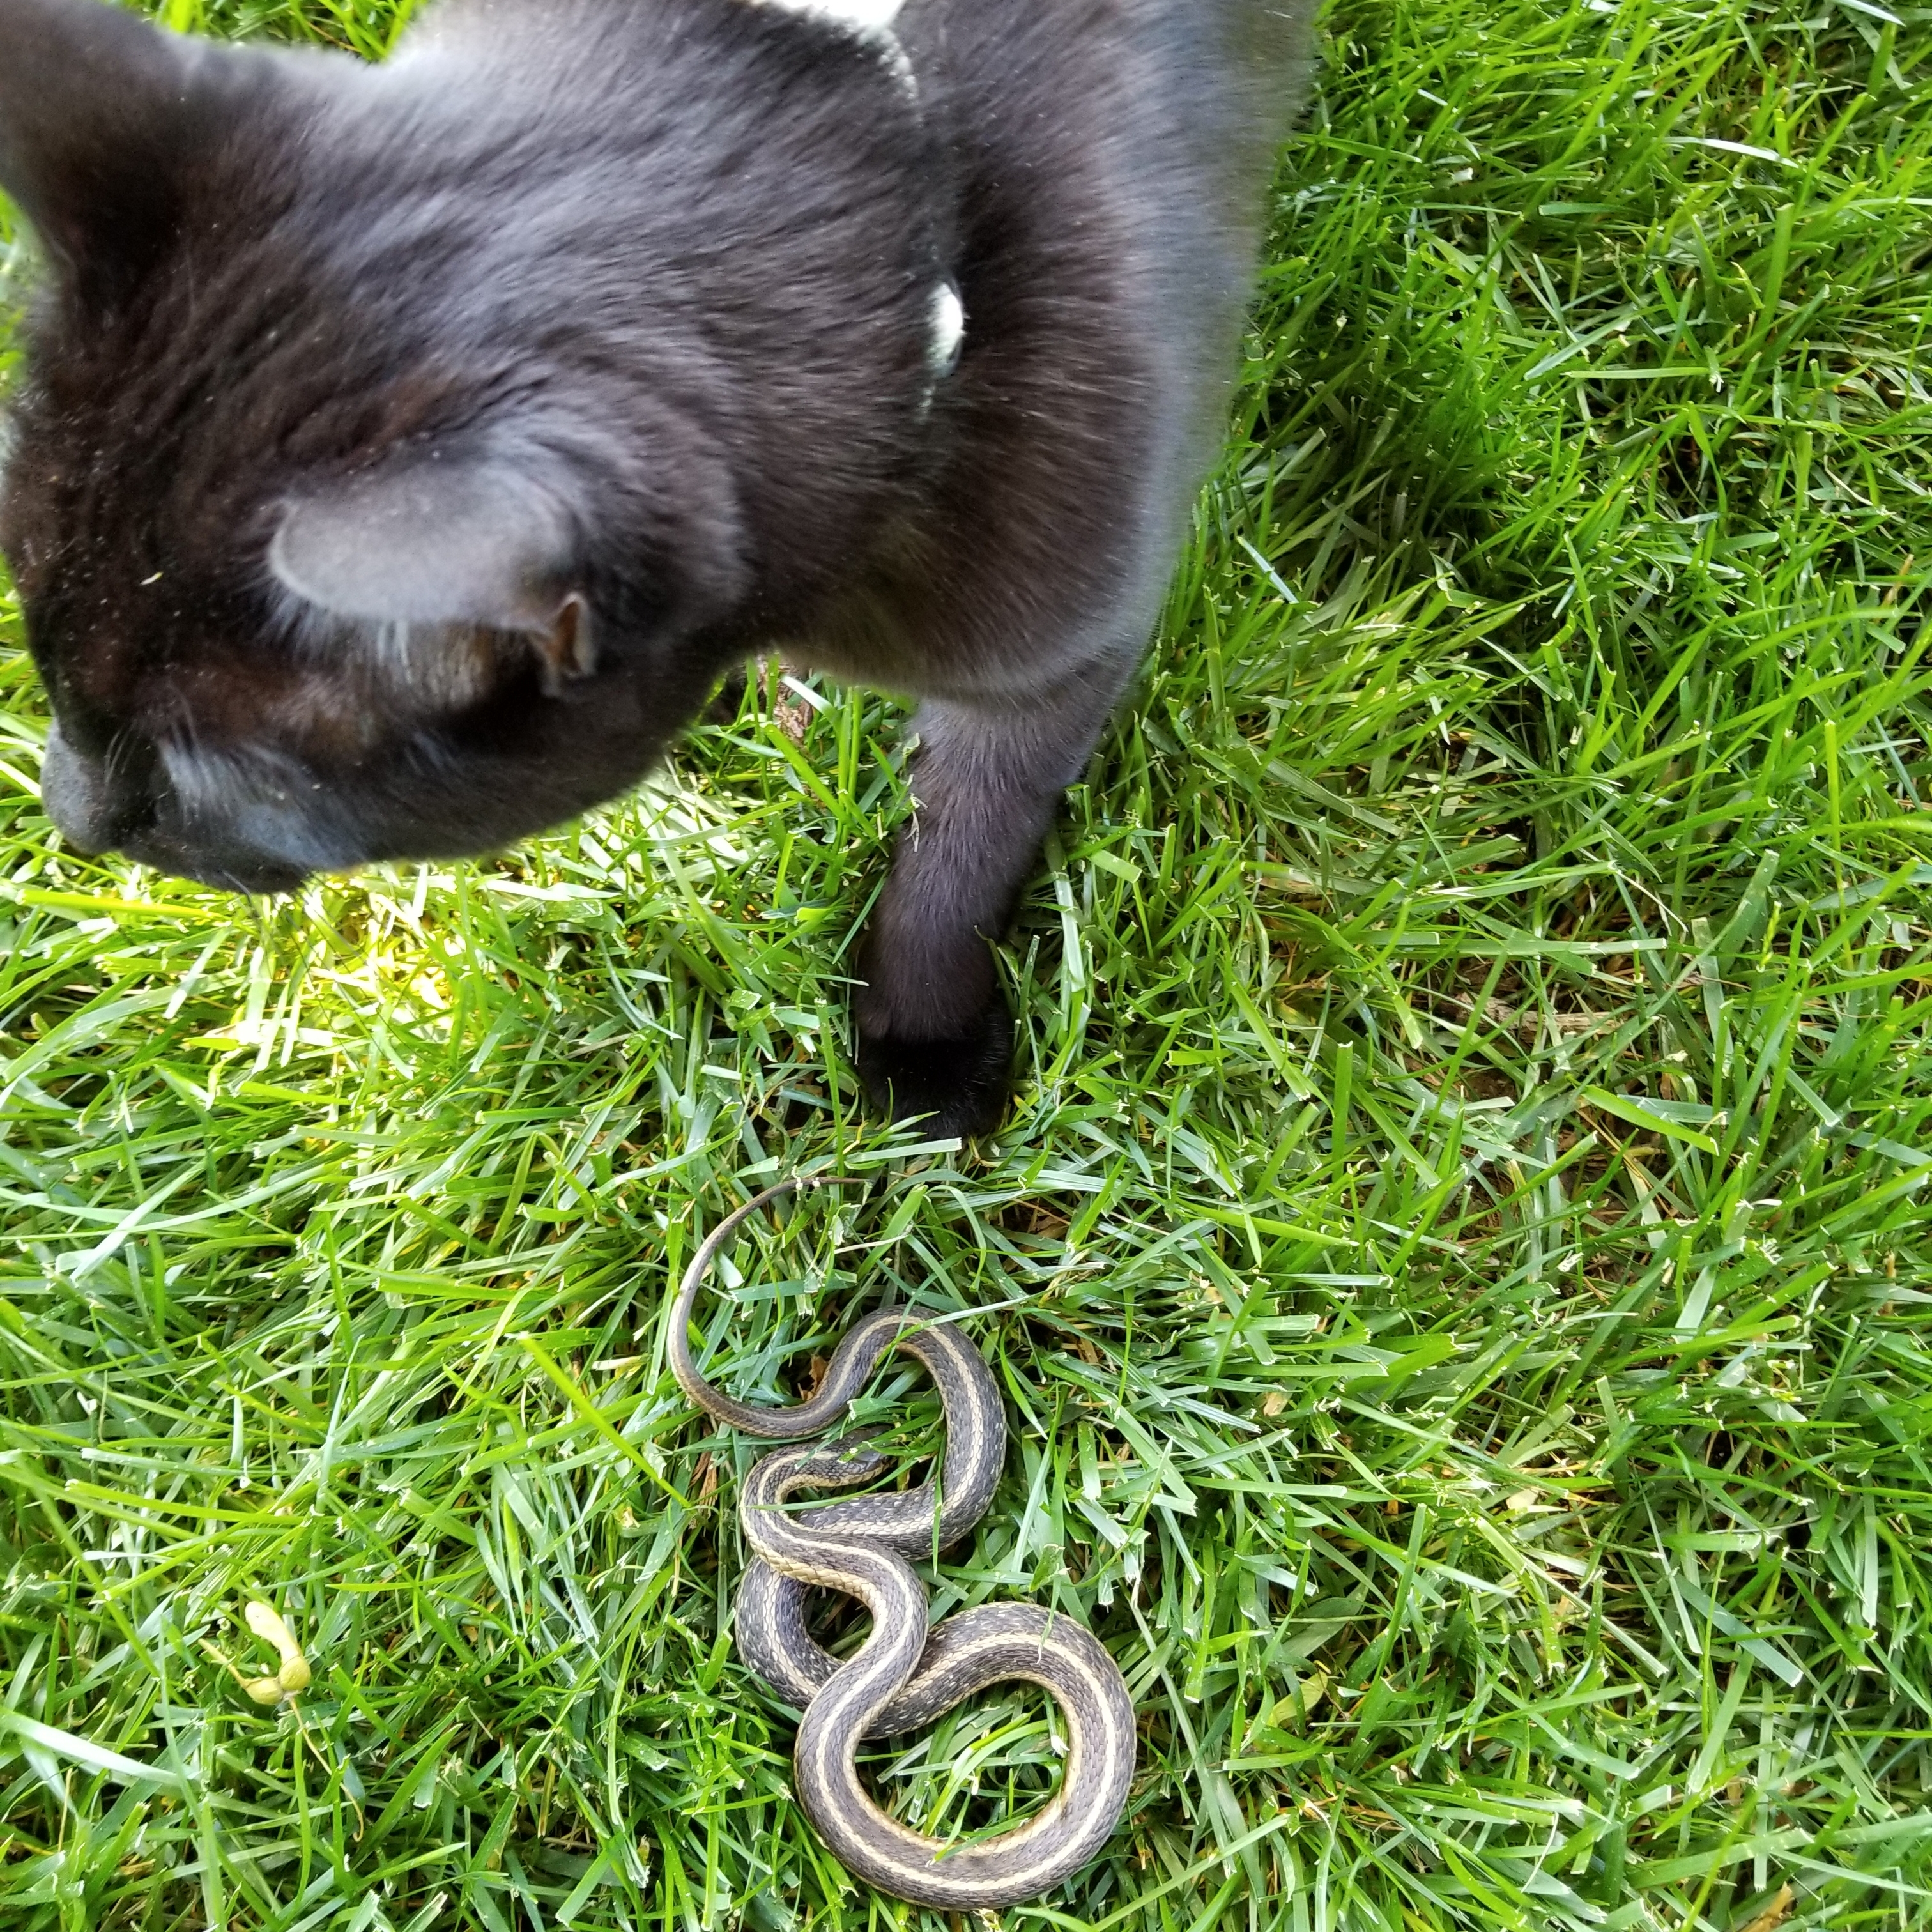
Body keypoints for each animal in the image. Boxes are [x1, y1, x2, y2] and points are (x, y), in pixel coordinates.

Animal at [0, 0, 1306, 1128]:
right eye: (40, 648)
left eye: (207, 776)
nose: (66, 818)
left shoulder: (1057, 648)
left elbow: (959, 853)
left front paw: (919, 1048)